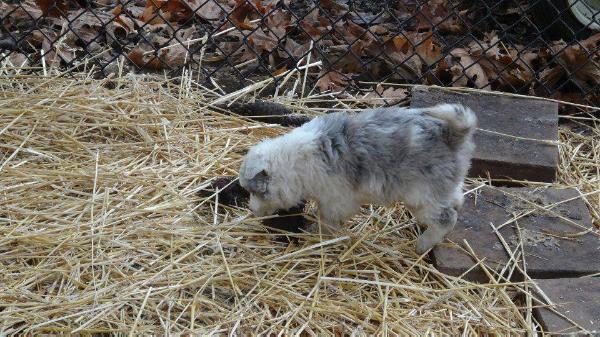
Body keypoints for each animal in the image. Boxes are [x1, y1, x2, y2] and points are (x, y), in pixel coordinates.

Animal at [237, 103, 476, 253]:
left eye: (256, 192)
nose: (252, 210)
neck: (292, 162)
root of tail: (452, 135)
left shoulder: (336, 200)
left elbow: (327, 219)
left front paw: (317, 232)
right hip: (440, 188)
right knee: (457, 196)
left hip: (421, 198)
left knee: (447, 218)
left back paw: (422, 245)